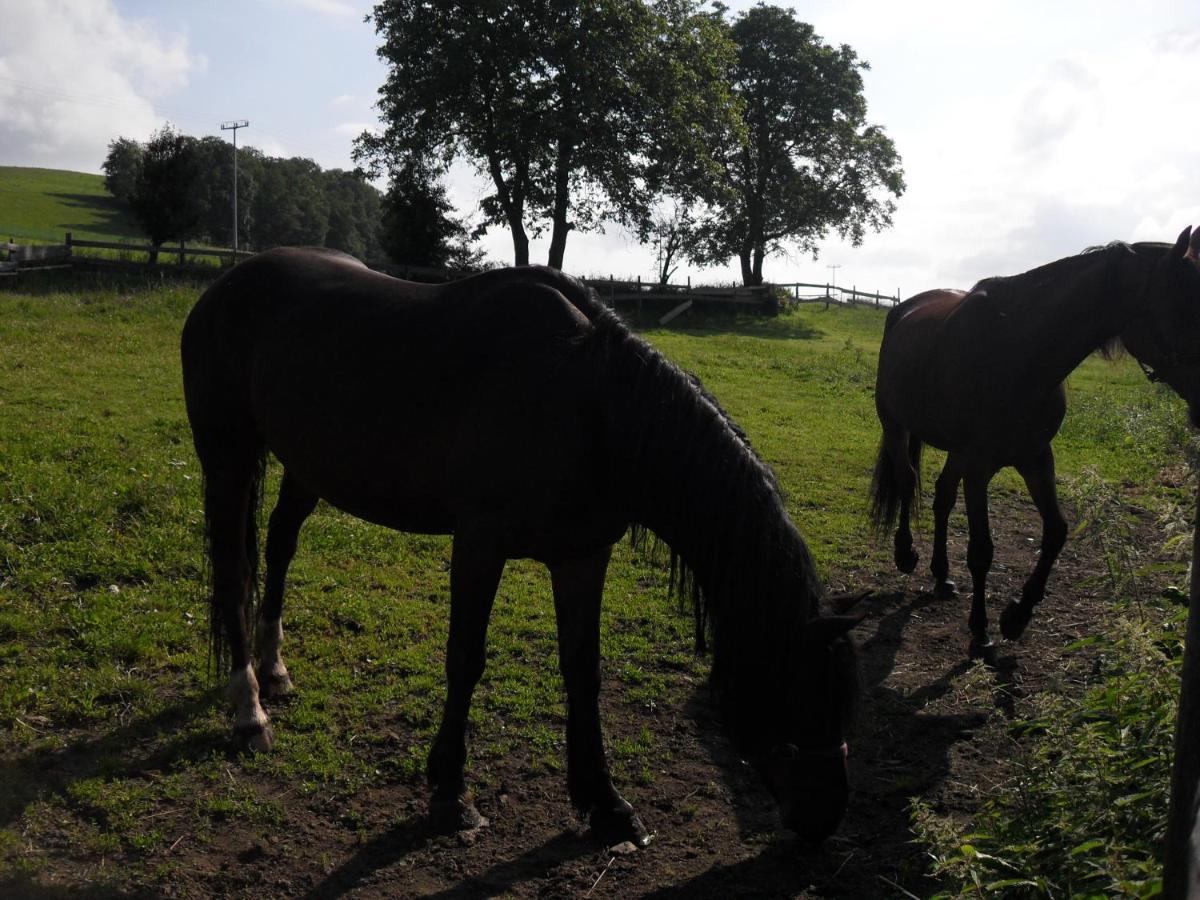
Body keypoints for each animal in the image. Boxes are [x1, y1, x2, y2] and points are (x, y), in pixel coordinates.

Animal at [180, 248, 864, 854]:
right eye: (794, 686)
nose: (827, 816)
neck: (589, 406)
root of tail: (224, 286)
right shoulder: (480, 545)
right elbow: (465, 660)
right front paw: (451, 796)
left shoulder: (583, 556)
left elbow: (583, 670)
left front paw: (606, 804)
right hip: (228, 458)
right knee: (234, 568)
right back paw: (249, 708)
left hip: (304, 468)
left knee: (279, 546)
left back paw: (275, 669)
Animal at [868, 224, 1200, 657]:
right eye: (1183, 307)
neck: (1019, 351)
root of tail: (902, 310)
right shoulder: (980, 466)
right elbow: (982, 550)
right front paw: (981, 630)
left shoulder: (1036, 457)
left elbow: (1056, 531)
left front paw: (1017, 615)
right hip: (895, 425)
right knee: (908, 481)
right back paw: (906, 553)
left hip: (957, 452)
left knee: (941, 496)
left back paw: (941, 576)